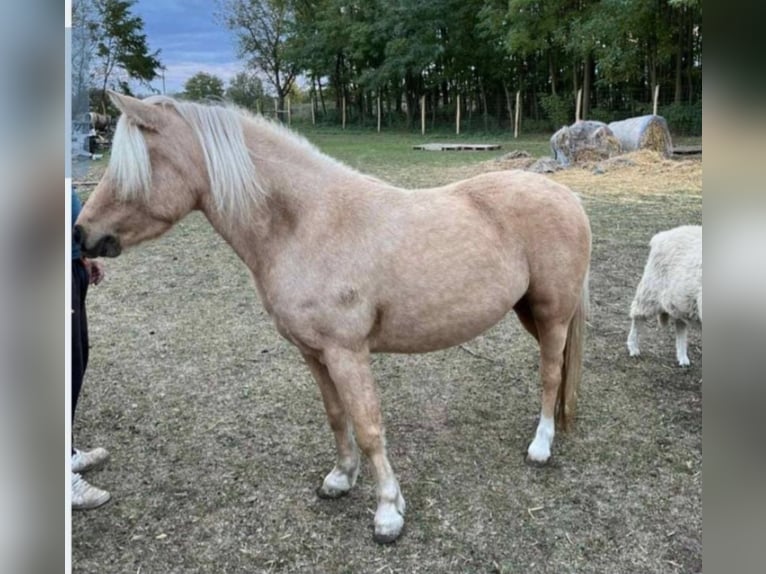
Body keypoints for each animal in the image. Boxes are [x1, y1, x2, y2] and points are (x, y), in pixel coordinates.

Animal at [75, 91, 591, 544]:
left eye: (131, 167)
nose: (81, 234)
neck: (305, 223)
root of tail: (568, 197)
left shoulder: (347, 352)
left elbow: (368, 427)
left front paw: (388, 513)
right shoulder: (314, 353)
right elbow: (336, 415)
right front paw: (341, 479)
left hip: (551, 314)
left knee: (549, 375)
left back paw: (541, 446)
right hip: (529, 312)